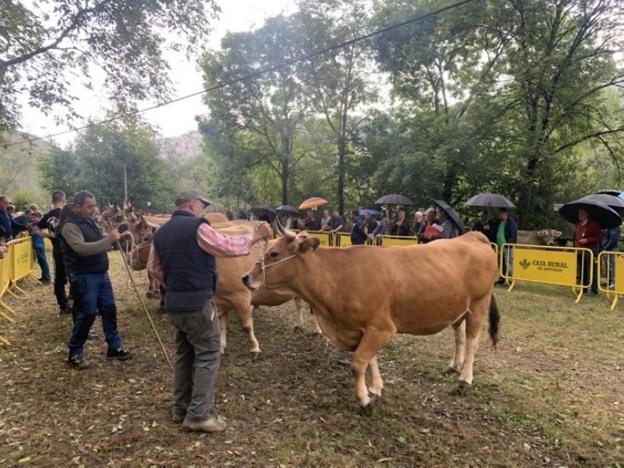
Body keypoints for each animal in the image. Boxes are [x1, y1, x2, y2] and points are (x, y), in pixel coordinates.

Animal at [241, 223, 500, 414]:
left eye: (274, 253)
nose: (245, 277)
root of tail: (471, 236)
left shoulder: (381, 328)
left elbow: (358, 362)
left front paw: (364, 399)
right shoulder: (363, 328)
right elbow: (370, 359)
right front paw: (376, 388)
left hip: (479, 303)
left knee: (472, 339)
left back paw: (465, 378)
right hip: (459, 307)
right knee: (459, 334)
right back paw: (454, 365)